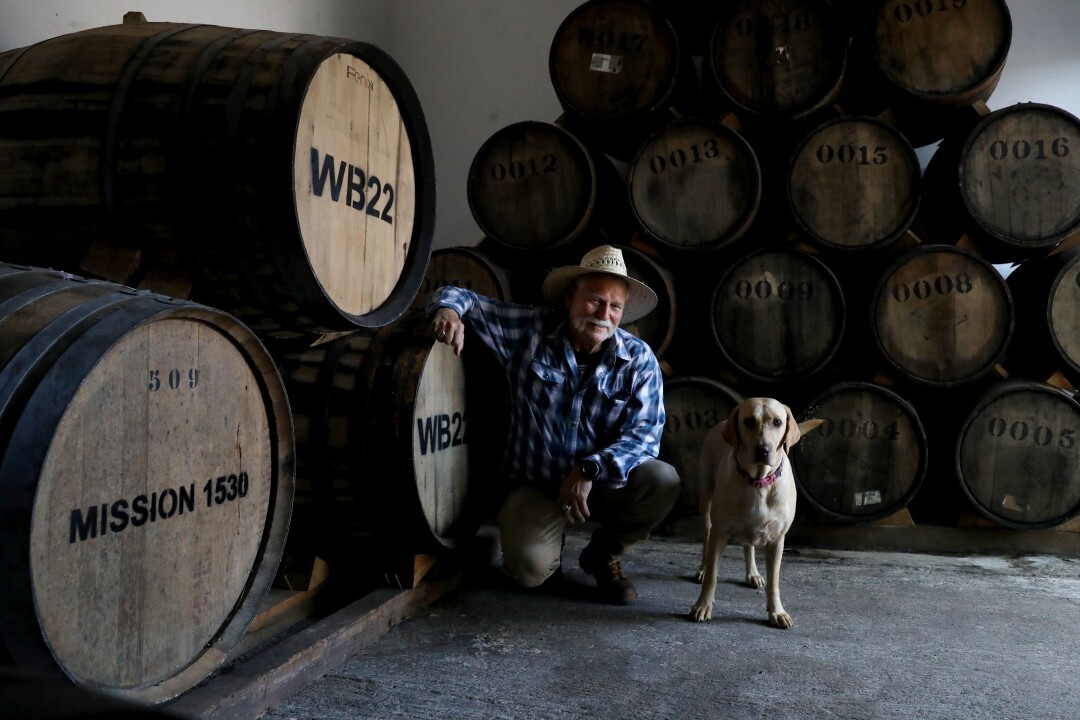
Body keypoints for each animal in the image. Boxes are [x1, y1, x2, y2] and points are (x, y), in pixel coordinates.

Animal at [691, 397, 816, 626]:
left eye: (777, 422)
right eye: (748, 421)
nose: (763, 450)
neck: (759, 482)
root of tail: (722, 422)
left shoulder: (777, 540)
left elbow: (774, 582)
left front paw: (776, 612)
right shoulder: (720, 532)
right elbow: (713, 575)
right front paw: (703, 605)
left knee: (748, 546)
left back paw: (753, 573)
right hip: (706, 502)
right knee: (706, 538)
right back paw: (702, 568)